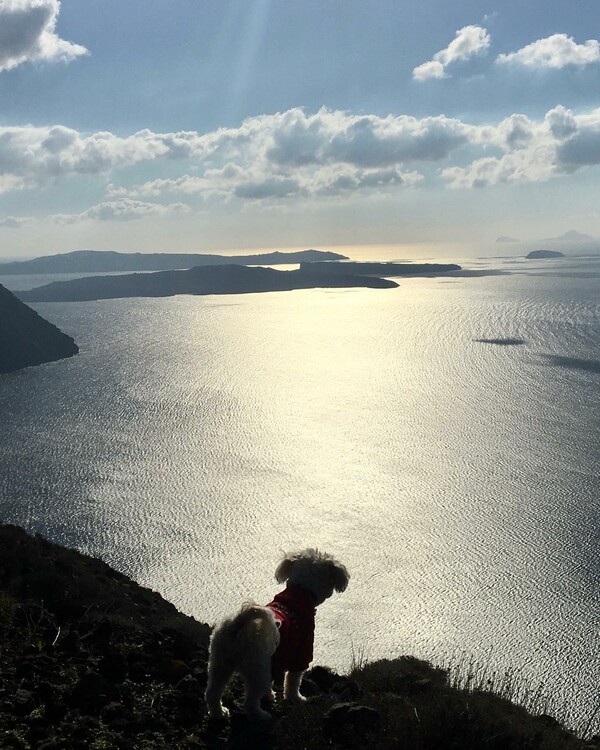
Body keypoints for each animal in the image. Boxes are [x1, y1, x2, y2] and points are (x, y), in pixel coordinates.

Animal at [205, 552, 350, 724]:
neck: (300, 593)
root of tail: (240, 621)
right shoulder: (301, 654)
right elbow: (293, 681)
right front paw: (296, 698)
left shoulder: (275, 659)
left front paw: (270, 696)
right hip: (257, 669)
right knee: (250, 702)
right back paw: (261, 716)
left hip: (220, 662)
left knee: (212, 692)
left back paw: (219, 713)